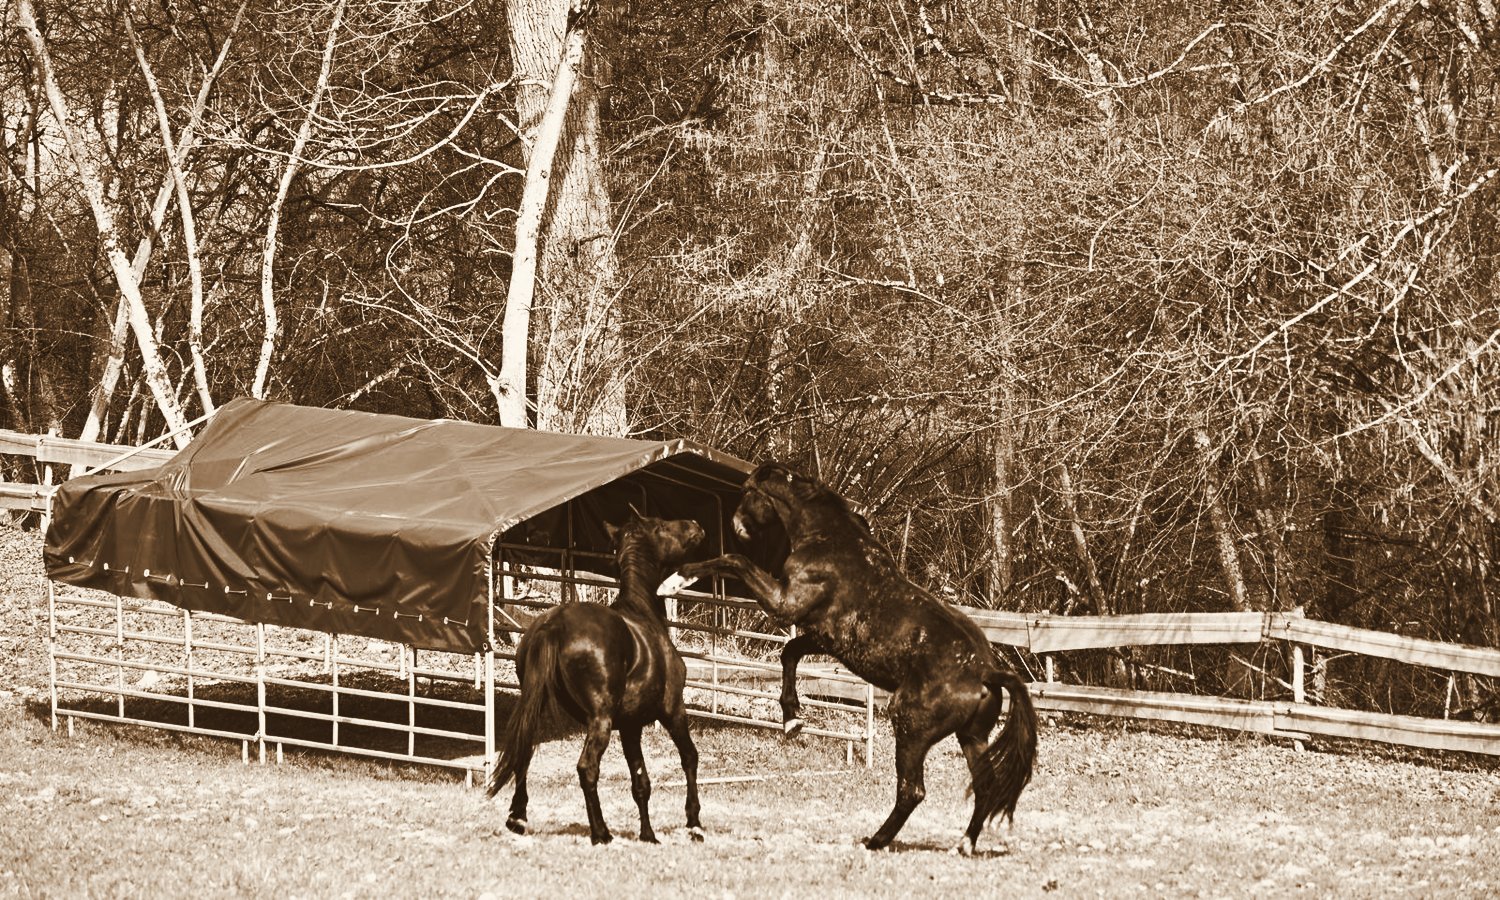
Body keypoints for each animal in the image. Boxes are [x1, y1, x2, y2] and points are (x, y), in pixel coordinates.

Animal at [486, 511, 706, 846]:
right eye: (661, 525)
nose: (696, 525)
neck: (642, 614)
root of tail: (554, 624)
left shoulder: (630, 727)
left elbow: (641, 782)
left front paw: (648, 835)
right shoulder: (672, 711)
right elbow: (689, 757)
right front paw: (693, 823)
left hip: (536, 709)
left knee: (523, 755)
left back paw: (518, 818)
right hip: (600, 721)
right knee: (587, 767)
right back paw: (601, 832)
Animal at [662, 462, 1037, 854]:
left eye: (748, 492)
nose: (736, 526)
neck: (830, 540)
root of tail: (986, 672)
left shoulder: (785, 604)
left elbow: (736, 563)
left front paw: (675, 579)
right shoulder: (823, 639)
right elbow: (789, 654)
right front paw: (792, 719)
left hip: (910, 727)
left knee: (912, 790)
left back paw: (876, 840)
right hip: (972, 737)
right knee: (984, 786)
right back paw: (962, 844)